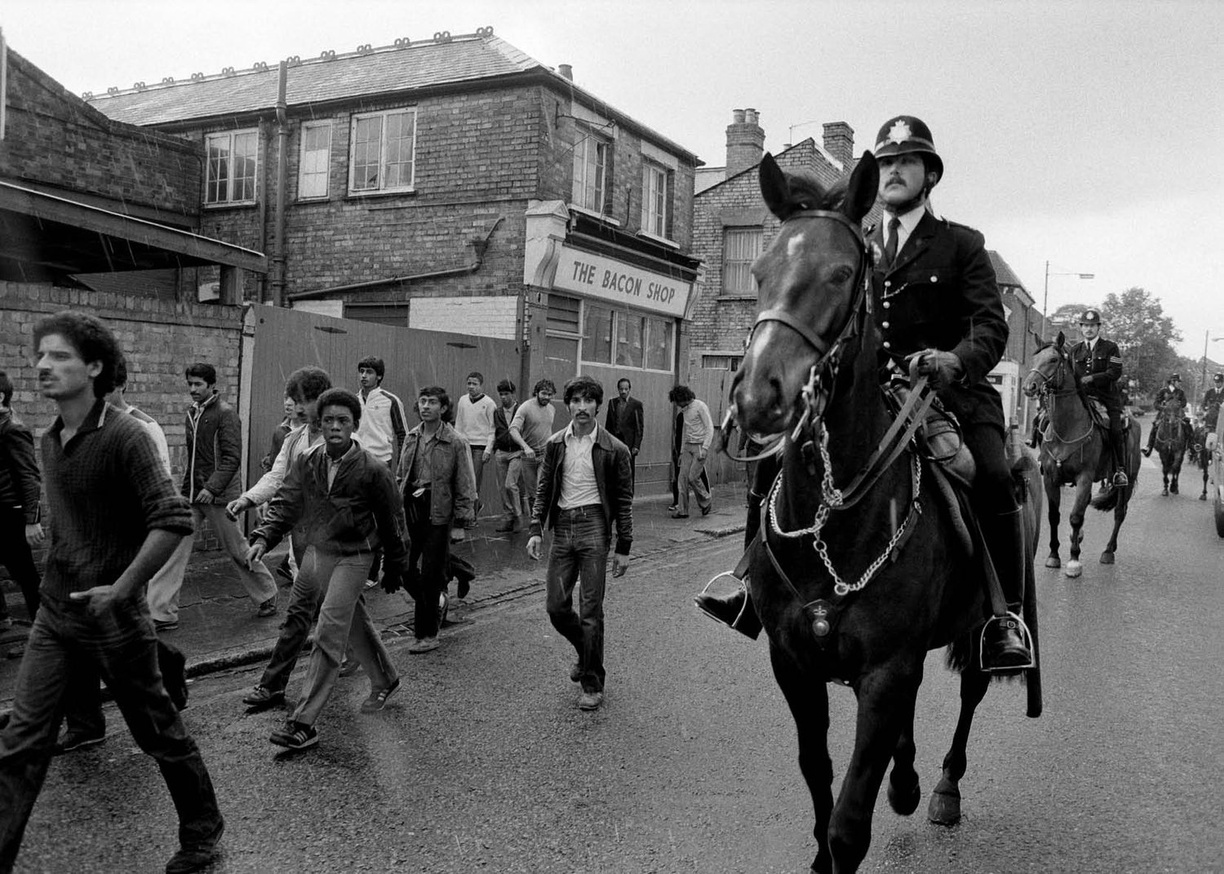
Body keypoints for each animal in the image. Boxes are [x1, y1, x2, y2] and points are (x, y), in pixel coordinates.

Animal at [724, 151, 1042, 871]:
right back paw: (908, 779)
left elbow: (850, 818)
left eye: (842, 273)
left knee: (970, 692)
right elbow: (818, 775)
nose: (758, 396)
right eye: (759, 271)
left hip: (980, 620)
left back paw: (943, 787)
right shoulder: (795, 665)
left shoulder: (885, 672)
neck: (837, 518)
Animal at [1018, 332, 1130, 572]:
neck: (1067, 428)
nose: (1029, 386)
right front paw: (1054, 555)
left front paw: (1073, 559)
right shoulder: (1051, 478)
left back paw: (1108, 551)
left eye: (1053, 360)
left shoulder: (1084, 477)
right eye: (1034, 358)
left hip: (1126, 477)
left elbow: (1076, 517)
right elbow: (1054, 516)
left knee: (1119, 512)